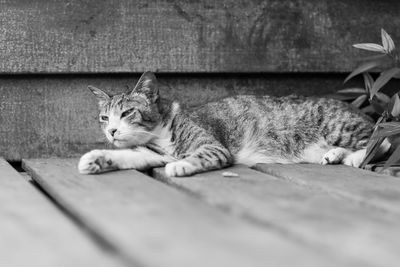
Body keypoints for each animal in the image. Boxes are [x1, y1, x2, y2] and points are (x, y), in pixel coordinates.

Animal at [78, 71, 390, 177]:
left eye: (127, 113)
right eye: (104, 117)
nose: (111, 131)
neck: (157, 135)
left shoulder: (213, 147)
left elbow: (199, 155)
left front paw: (181, 166)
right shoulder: (150, 154)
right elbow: (128, 156)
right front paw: (97, 159)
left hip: (339, 126)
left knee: (381, 139)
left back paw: (355, 156)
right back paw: (334, 155)